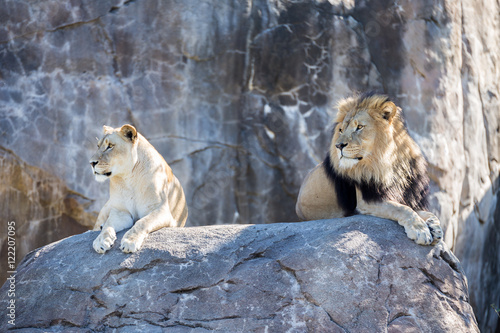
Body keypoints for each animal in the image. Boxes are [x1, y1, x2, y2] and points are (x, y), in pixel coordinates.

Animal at [89, 124, 188, 252]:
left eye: (110, 146)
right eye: (98, 146)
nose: (91, 163)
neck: (128, 179)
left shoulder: (161, 210)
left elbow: (142, 222)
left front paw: (129, 242)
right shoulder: (120, 211)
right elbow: (108, 225)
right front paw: (101, 240)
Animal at [294, 91, 444, 244]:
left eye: (359, 127)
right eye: (341, 130)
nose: (338, 145)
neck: (389, 164)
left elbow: (423, 211)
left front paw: (434, 226)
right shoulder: (367, 201)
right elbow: (402, 209)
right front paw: (420, 230)